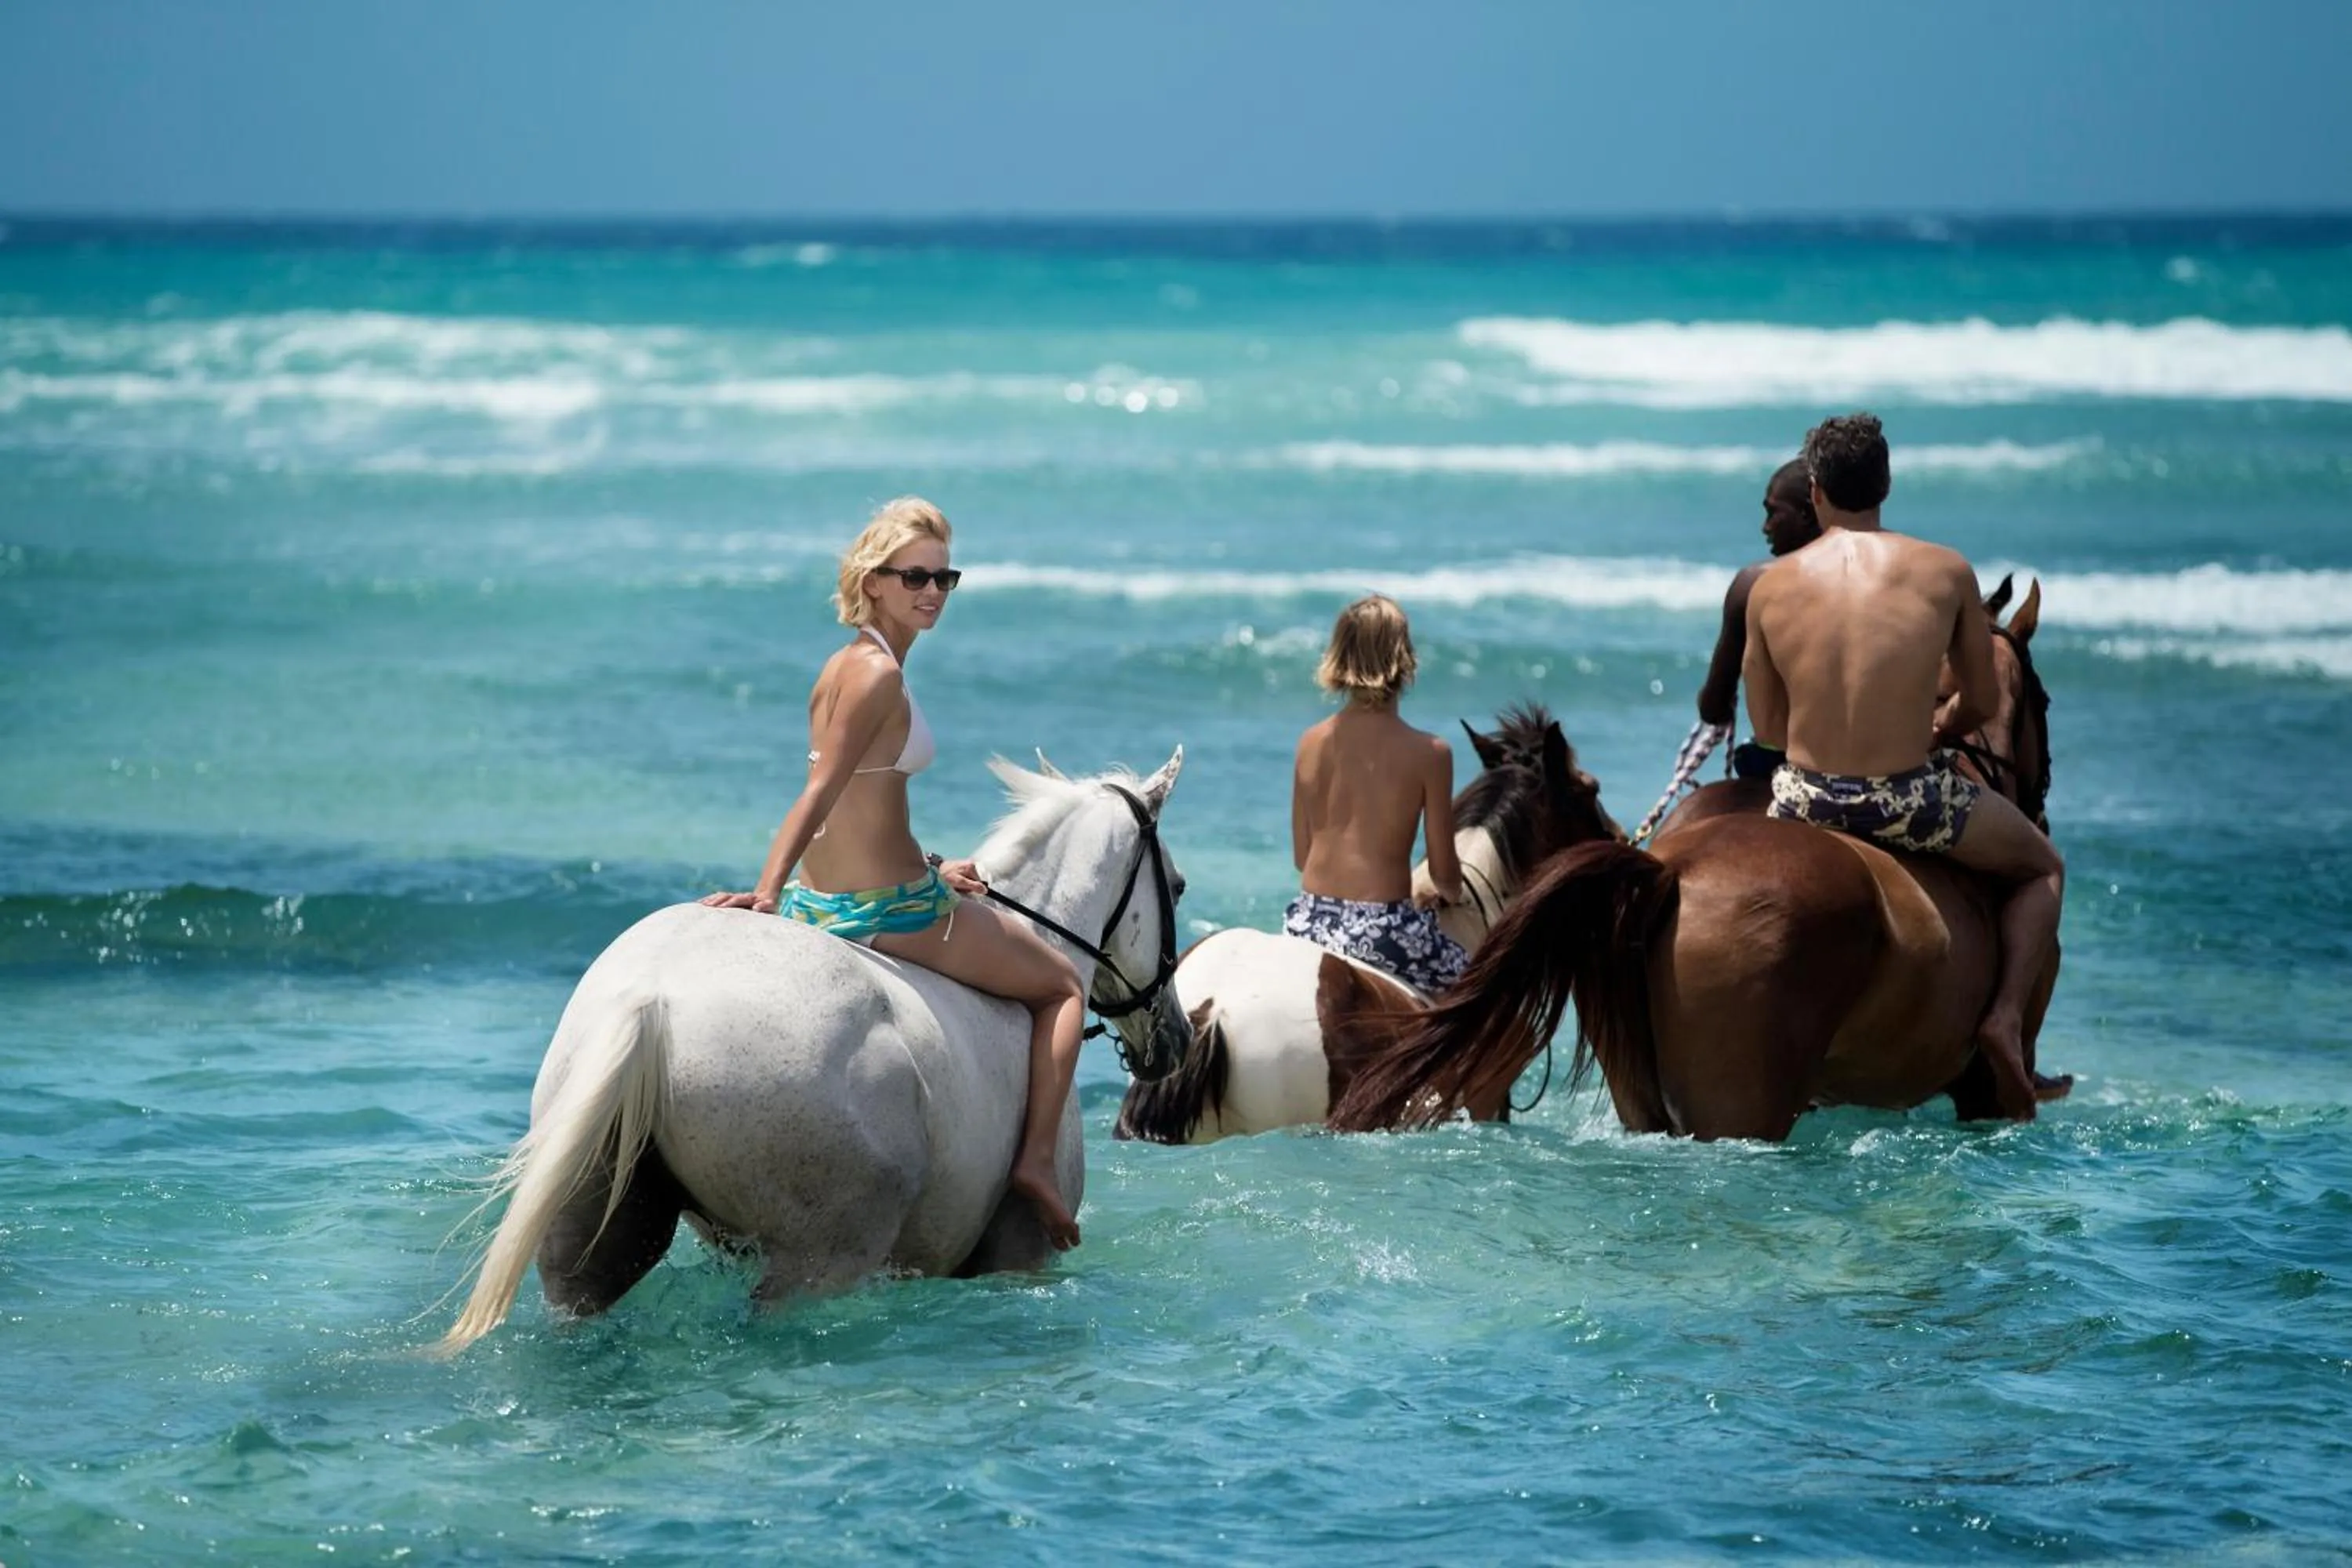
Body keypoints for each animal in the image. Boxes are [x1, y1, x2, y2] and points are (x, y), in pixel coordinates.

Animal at [439, 750, 1191, 1352]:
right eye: (1178, 887)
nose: (1175, 1039)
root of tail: (650, 1003)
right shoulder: (1021, 1252)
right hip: (820, 1260)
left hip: (593, 1240)